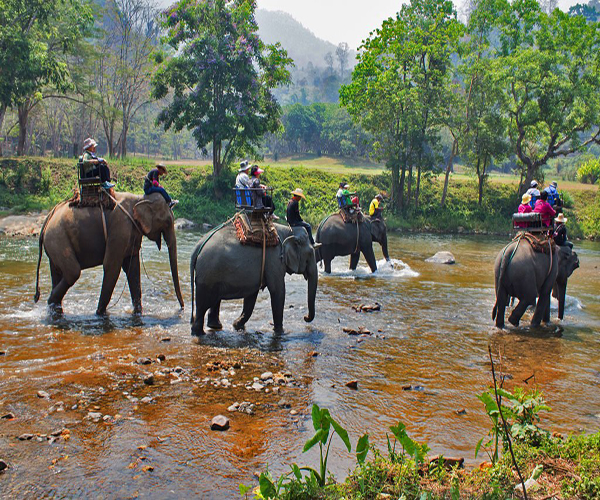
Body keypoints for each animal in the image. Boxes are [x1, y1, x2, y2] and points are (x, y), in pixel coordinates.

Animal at [32, 192, 183, 314]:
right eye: (168, 222)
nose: (182, 308)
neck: (140, 198)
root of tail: (48, 218)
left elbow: (133, 269)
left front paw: (138, 313)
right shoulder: (120, 228)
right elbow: (112, 266)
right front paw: (100, 313)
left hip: (54, 243)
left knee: (57, 273)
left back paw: (54, 308)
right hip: (57, 239)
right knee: (72, 272)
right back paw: (51, 301)